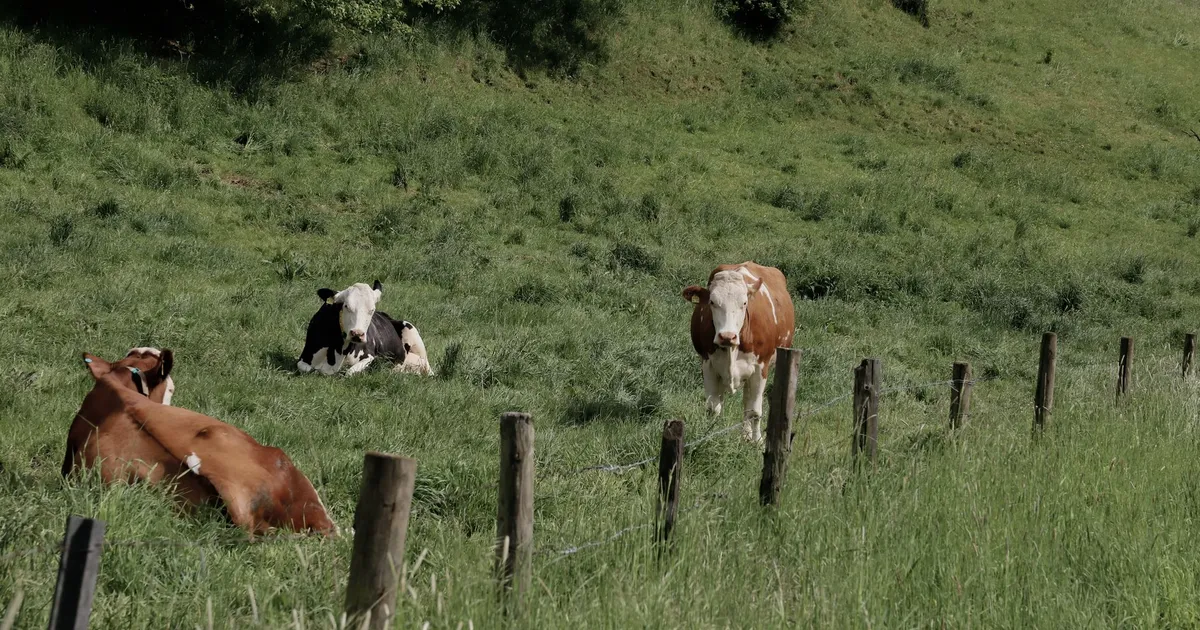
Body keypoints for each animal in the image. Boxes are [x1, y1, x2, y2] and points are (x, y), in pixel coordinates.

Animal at [296, 280, 433, 376]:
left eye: (371, 310)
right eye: (346, 306)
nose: (357, 333)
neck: (338, 352)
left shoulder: (369, 355)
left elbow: (349, 372)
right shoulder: (305, 356)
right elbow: (305, 368)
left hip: (412, 331)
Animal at [682, 262, 795, 445]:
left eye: (744, 303)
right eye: (712, 302)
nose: (727, 336)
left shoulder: (760, 368)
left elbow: (754, 411)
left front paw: (757, 442)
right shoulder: (708, 365)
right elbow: (713, 408)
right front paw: (709, 436)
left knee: (748, 404)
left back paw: (748, 436)